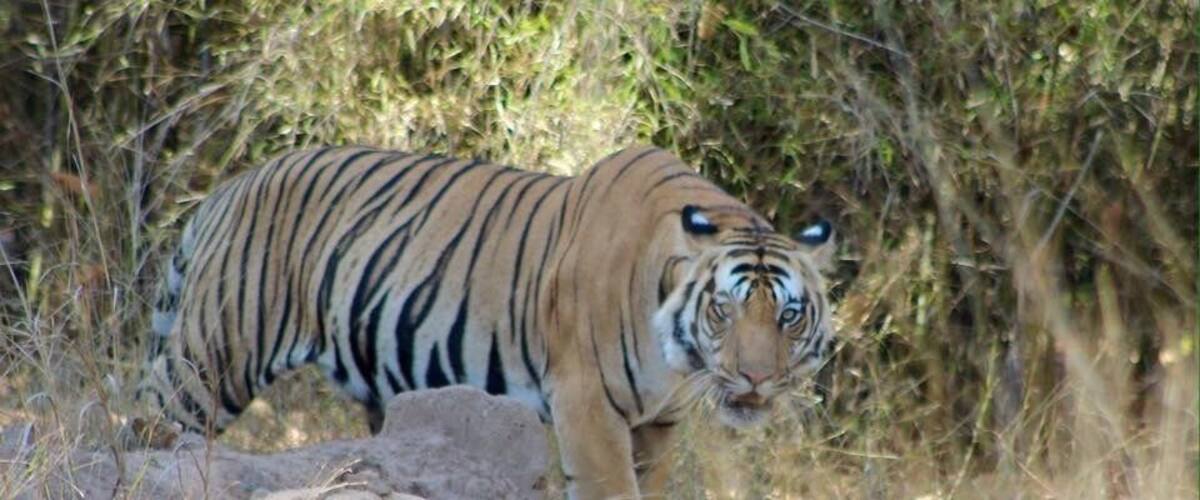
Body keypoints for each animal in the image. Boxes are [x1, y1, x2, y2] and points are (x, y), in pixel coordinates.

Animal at [137, 145, 836, 499]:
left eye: (788, 317)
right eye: (724, 309)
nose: (754, 380)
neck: (678, 360)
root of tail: (232, 187)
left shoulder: (658, 425)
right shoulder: (588, 406)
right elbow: (610, 490)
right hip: (211, 360)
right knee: (149, 430)